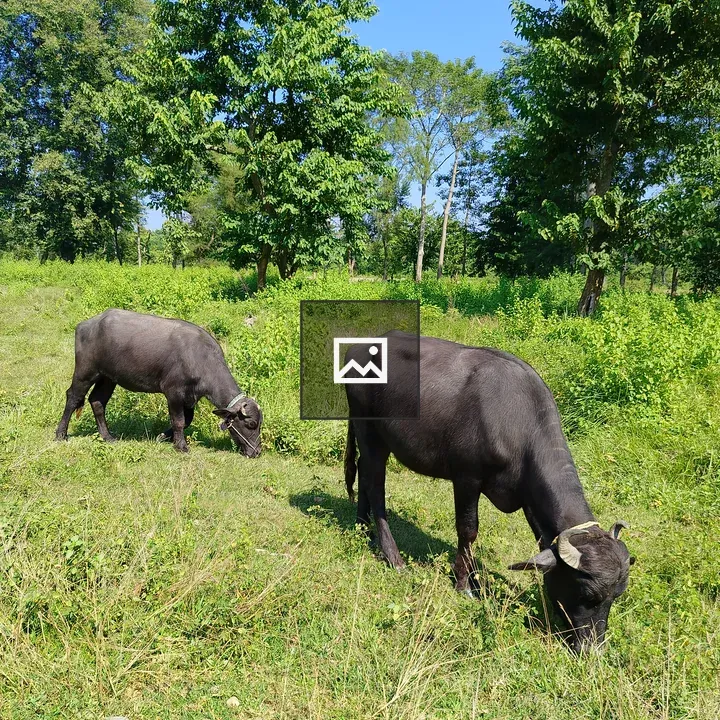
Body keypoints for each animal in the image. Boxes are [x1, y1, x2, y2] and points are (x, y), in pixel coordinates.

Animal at [55, 309, 262, 456]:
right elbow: (179, 421)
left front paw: (162, 436)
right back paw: (60, 434)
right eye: (251, 425)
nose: (257, 452)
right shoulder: (174, 393)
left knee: (97, 402)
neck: (200, 359)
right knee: (73, 397)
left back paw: (108, 437)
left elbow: (187, 420)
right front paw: (181, 446)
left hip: (108, 378)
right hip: (86, 371)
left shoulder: (190, 397)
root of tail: (86, 324)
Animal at [344, 331, 633, 651]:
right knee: (375, 484)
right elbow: (468, 530)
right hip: (369, 432)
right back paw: (393, 556)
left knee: (362, 471)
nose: (592, 649)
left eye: (616, 596)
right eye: (587, 594)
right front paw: (464, 584)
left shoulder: (527, 500)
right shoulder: (466, 478)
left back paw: (361, 526)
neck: (518, 425)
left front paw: (475, 579)